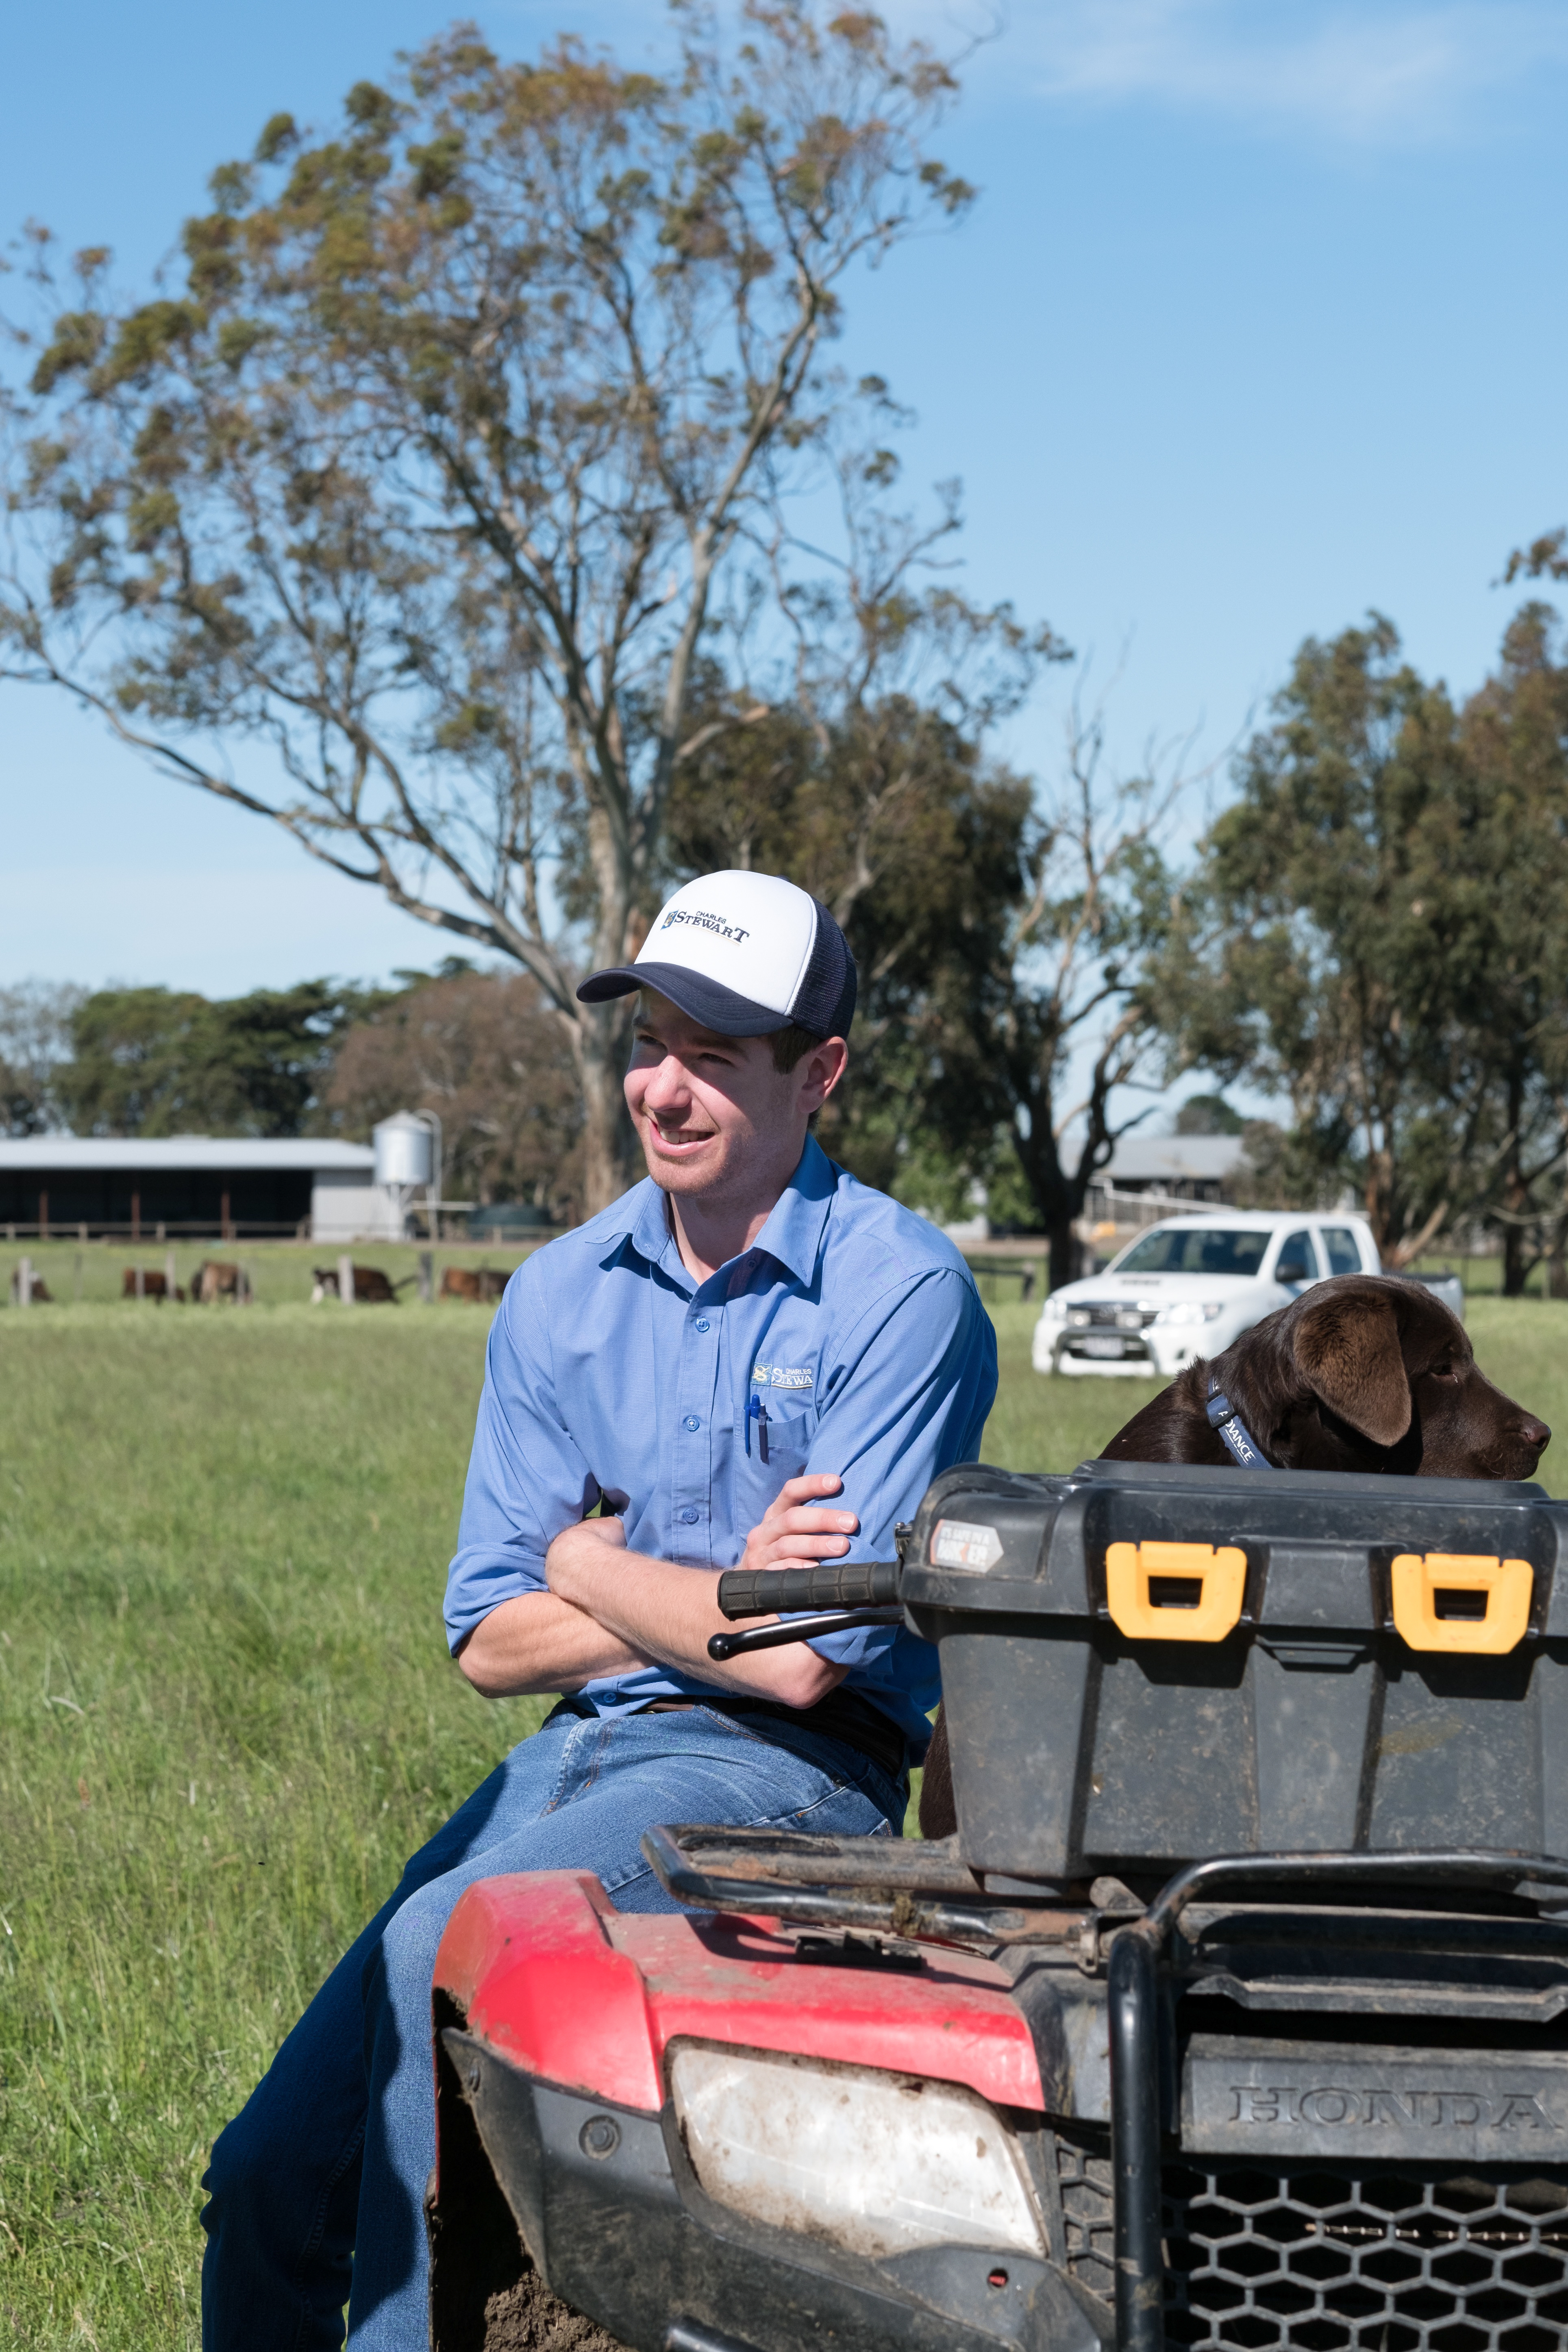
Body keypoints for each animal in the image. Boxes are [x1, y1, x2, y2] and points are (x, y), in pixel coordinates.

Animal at [439, 1270, 505, 1308]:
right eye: (490, 1300)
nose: (493, 1305)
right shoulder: (467, 1293)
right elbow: (466, 1302)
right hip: (445, 1288)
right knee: (442, 1295)